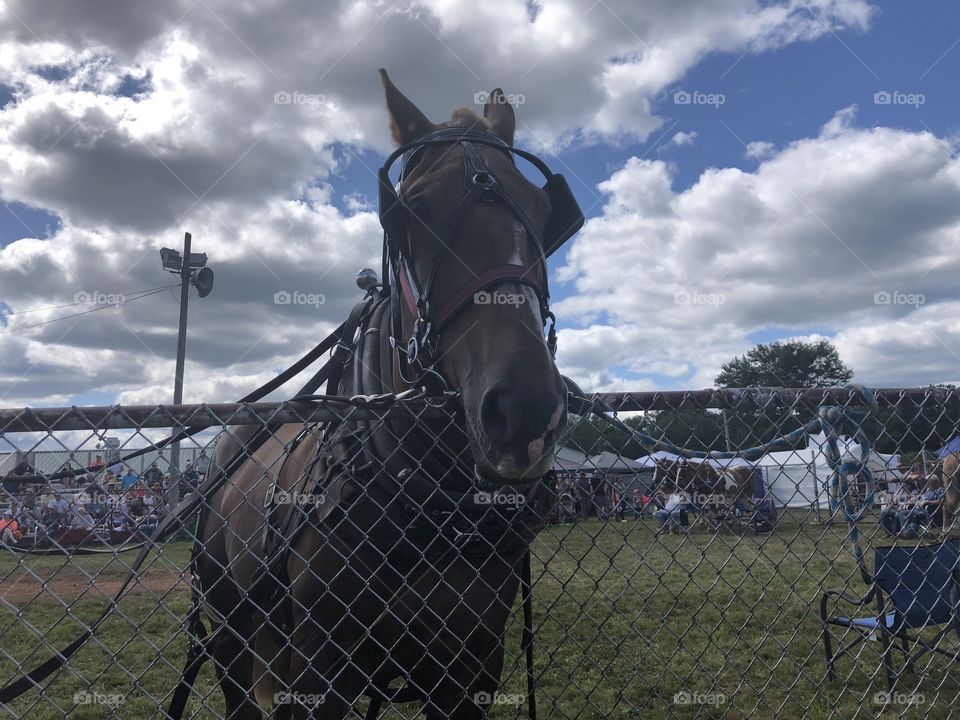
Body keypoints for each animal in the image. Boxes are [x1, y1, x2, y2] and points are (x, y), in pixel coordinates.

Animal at [193, 70, 582, 719]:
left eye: (545, 211)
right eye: (412, 213)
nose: (526, 412)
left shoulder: (472, 670)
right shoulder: (321, 671)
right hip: (230, 640)